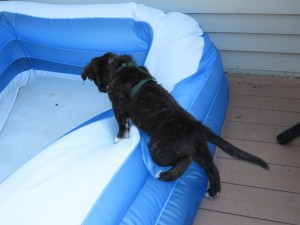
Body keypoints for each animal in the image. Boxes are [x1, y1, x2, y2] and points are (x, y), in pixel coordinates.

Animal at [81, 52, 270, 197]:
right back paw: (214, 191)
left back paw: (165, 175)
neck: (120, 67)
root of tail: (195, 125)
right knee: (212, 167)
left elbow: (121, 126)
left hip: (158, 148)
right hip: (200, 149)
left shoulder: (118, 107)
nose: (101, 90)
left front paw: (118, 139)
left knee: (186, 159)